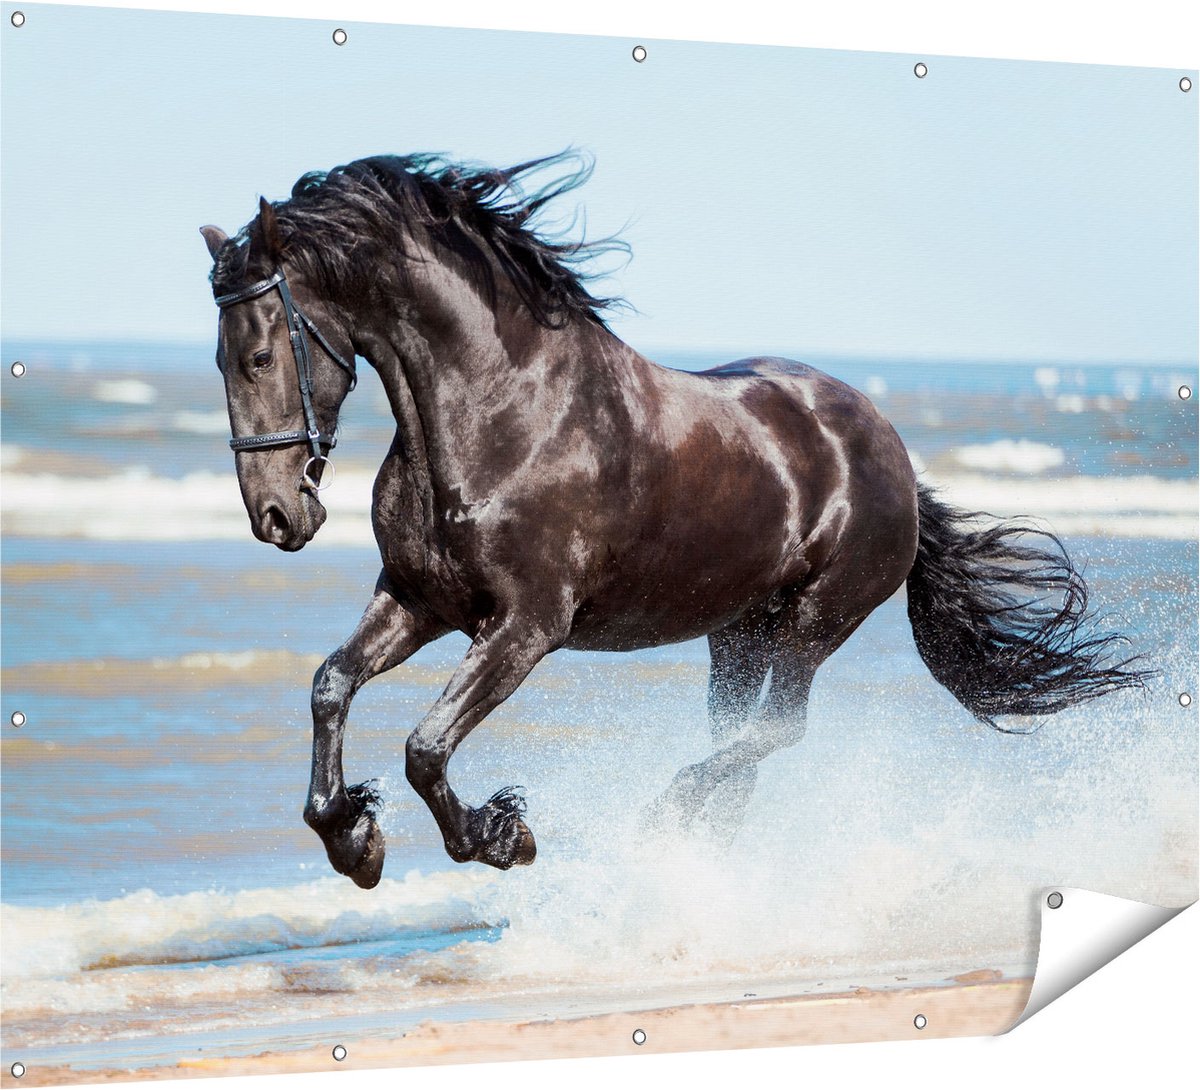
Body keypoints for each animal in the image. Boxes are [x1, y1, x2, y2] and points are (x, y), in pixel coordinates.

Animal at [200, 153, 1147, 889]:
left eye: (260, 355)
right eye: (218, 358)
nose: (277, 515)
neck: (498, 411)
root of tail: (893, 453)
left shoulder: (526, 626)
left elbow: (426, 746)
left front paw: (502, 836)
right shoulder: (419, 600)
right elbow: (331, 684)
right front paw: (353, 840)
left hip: (816, 620)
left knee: (777, 729)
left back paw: (664, 820)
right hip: (739, 630)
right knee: (744, 741)